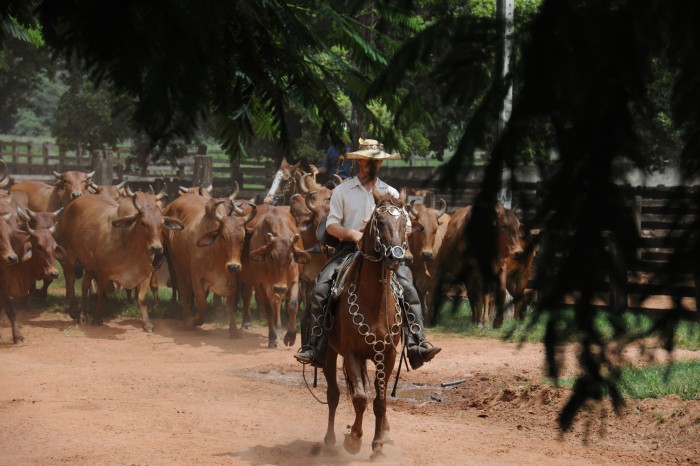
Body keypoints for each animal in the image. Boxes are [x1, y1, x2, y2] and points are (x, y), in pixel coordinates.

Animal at [58, 186, 183, 332]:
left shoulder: (146, 274)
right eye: (142, 222)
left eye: (162, 223)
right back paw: (74, 311)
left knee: (85, 286)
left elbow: (142, 298)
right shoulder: (103, 273)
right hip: (70, 254)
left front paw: (147, 324)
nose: (157, 249)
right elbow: (102, 294)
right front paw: (97, 318)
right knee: (71, 279)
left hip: (89, 264)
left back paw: (82, 315)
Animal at [163, 191, 256, 336]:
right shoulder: (197, 277)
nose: (233, 266)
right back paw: (187, 320)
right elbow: (202, 304)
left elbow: (230, 305)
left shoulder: (232, 280)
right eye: (223, 236)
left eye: (243, 238)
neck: (217, 256)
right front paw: (194, 322)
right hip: (177, 264)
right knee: (183, 291)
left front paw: (233, 331)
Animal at [238, 206, 308, 348]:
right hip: (248, 280)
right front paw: (273, 338)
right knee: (247, 296)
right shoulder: (260, 284)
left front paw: (290, 336)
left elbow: (292, 305)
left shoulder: (294, 280)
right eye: (271, 257)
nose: (280, 288)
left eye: (291, 257)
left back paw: (279, 327)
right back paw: (247, 323)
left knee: (277, 300)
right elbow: (268, 309)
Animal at [320, 190, 408, 458]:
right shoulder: (352, 353)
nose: (395, 257)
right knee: (334, 394)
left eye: (404, 223)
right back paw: (330, 439)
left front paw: (377, 444)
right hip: (329, 353)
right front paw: (354, 440)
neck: (374, 302)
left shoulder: (388, 355)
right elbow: (359, 398)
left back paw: (385, 433)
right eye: (379, 222)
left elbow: (380, 400)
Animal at [438, 202, 524, 330]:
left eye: (518, 226)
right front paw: (479, 322)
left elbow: (501, 294)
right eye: (503, 225)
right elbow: (477, 297)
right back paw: (476, 320)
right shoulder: (475, 272)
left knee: (485, 296)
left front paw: (497, 322)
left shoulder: (501, 268)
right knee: (473, 295)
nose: (518, 252)